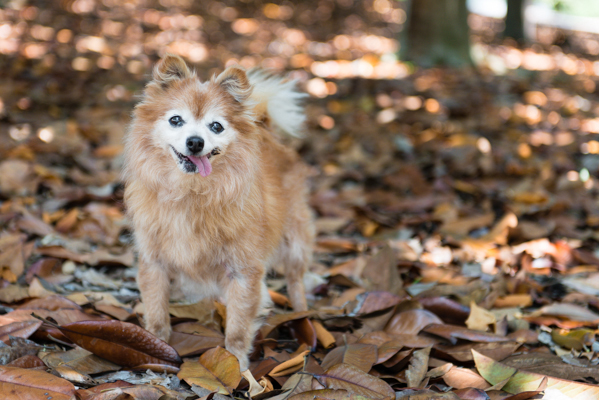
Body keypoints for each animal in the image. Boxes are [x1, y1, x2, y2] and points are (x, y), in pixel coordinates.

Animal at [125, 54, 316, 370]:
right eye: (176, 120)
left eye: (216, 126)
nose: (195, 141)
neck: (191, 193)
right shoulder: (155, 262)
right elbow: (156, 310)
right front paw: (156, 345)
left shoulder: (243, 271)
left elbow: (238, 327)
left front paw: (236, 365)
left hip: (294, 242)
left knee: (295, 279)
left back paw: (303, 317)